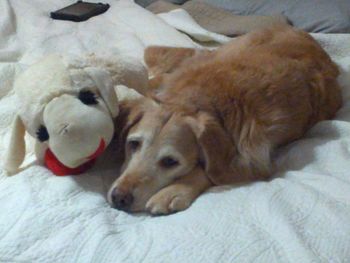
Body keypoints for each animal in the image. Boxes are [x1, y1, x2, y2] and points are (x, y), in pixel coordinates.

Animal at [107, 25, 342, 216]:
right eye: (133, 144)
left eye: (170, 162)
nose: (120, 197)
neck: (198, 100)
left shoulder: (256, 160)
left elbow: (208, 170)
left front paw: (174, 192)